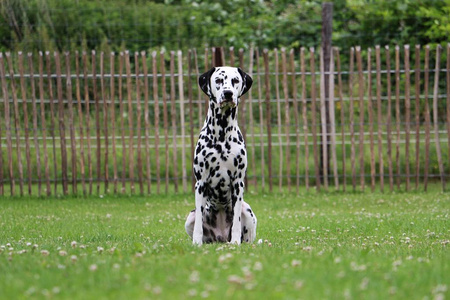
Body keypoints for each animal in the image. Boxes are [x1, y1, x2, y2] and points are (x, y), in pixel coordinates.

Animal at [185, 67, 256, 245]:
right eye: (218, 80)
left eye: (235, 80)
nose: (228, 93)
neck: (222, 134)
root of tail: (221, 237)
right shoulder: (200, 183)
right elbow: (199, 223)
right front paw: (196, 243)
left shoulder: (238, 183)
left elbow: (236, 220)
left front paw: (236, 241)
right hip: (190, 216)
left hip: (247, 210)